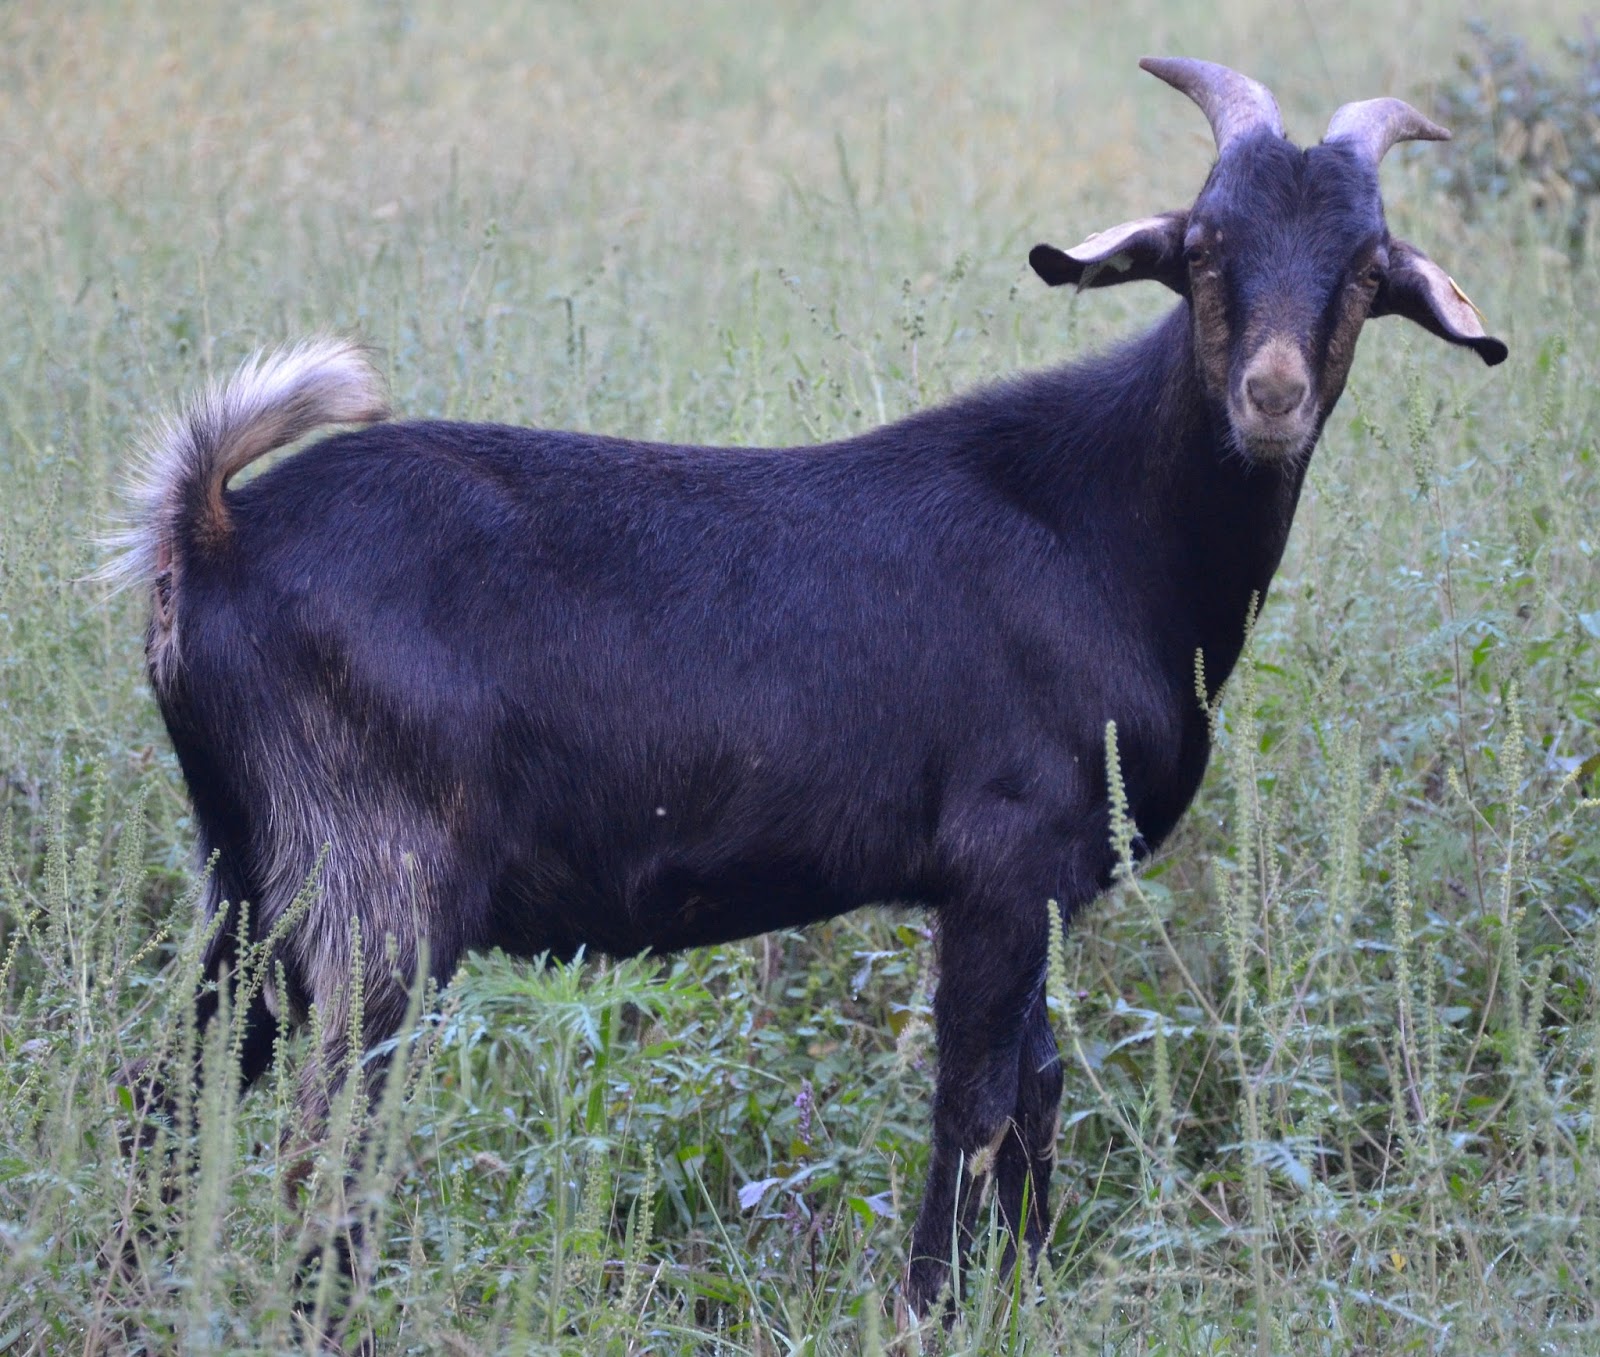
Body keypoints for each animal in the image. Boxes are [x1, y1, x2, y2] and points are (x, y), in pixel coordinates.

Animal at [109, 57, 1505, 1312]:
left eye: (1368, 267)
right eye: (1205, 246)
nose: (1269, 396)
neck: (1098, 522)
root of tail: (213, 529)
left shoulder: (1043, 883)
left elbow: (1037, 1088)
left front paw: (1024, 1291)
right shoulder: (1003, 862)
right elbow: (974, 1100)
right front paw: (929, 1307)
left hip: (243, 870)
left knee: (169, 1095)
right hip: (377, 885)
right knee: (322, 1142)